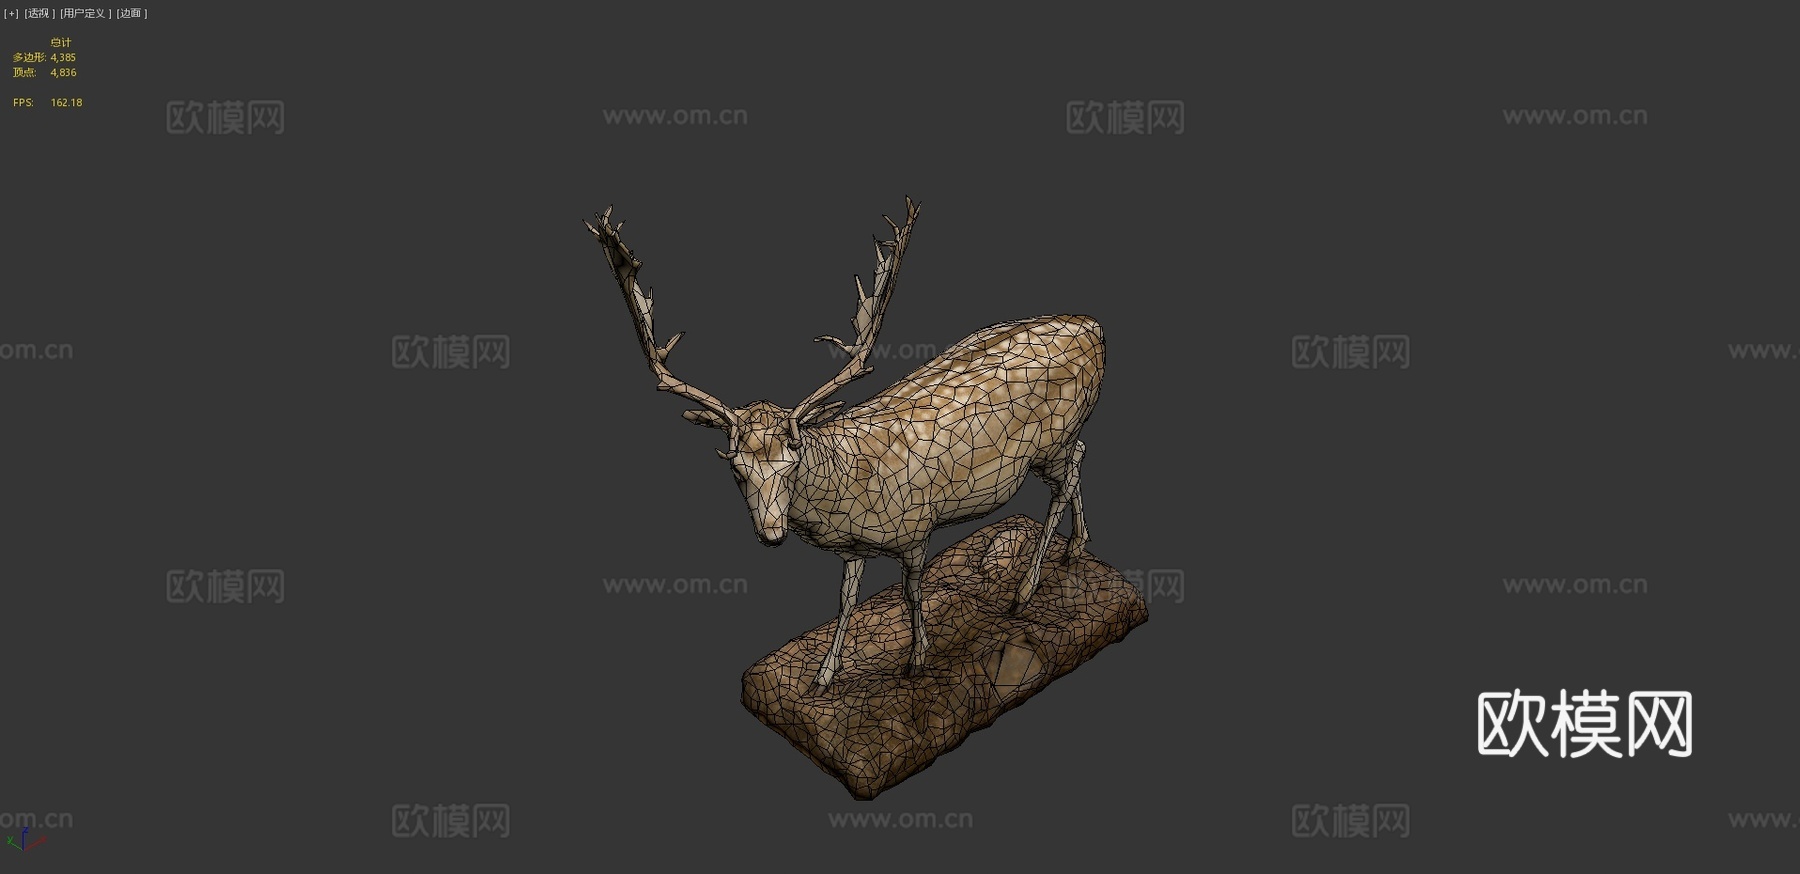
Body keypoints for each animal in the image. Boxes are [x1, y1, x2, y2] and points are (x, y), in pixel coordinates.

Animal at [585, 198, 1104, 690]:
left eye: (791, 461)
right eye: (737, 469)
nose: (771, 534)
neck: (848, 488)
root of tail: (1095, 327)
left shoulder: (915, 528)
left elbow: (911, 591)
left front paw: (917, 660)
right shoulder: (853, 550)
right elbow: (845, 599)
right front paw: (824, 674)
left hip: (1053, 439)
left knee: (1065, 479)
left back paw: (1024, 592)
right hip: (1061, 441)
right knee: (1080, 460)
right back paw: (1074, 549)